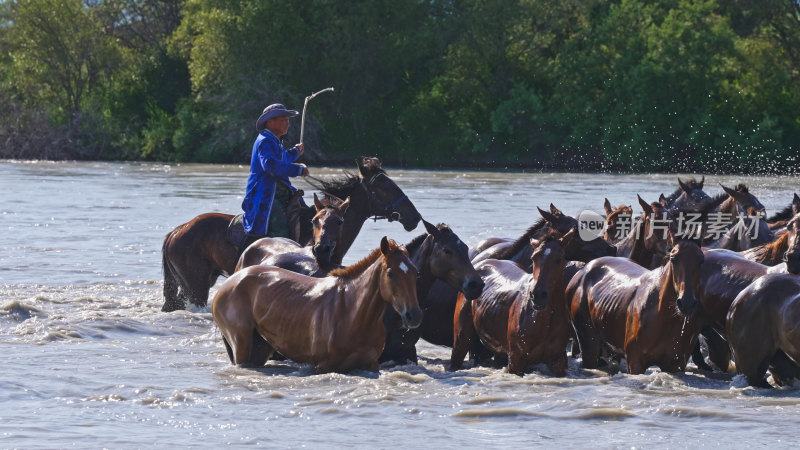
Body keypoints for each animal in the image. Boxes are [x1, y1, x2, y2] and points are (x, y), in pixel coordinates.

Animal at [212, 237, 424, 374]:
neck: (352, 312)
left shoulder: (371, 365)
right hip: (241, 344)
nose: (413, 315)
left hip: (260, 347)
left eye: (416, 273)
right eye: (391, 273)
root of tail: (230, 281)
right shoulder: (323, 366)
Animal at [450, 230, 576, 374]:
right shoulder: (516, 360)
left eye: (559, 259)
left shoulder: (558, 361)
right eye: (533, 258)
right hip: (461, 338)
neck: (542, 320)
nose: (538, 295)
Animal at [564, 239, 704, 372]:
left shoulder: (675, 365)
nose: (687, 303)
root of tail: (582, 271)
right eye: (673, 258)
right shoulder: (635, 360)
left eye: (701, 261)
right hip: (588, 341)